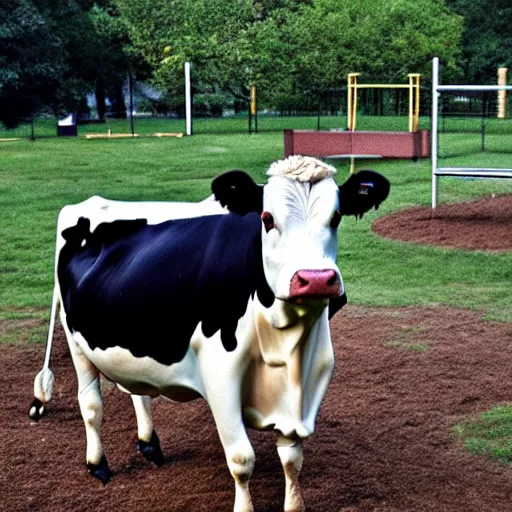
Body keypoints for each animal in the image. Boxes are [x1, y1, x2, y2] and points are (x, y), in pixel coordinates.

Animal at [29, 157, 388, 512]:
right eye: (267, 218)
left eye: (336, 217)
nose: (315, 279)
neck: (287, 350)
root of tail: (85, 205)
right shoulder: (221, 377)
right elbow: (242, 459)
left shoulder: (304, 390)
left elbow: (292, 460)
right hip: (77, 343)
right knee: (91, 405)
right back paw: (98, 464)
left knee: (136, 391)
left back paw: (149, 444)